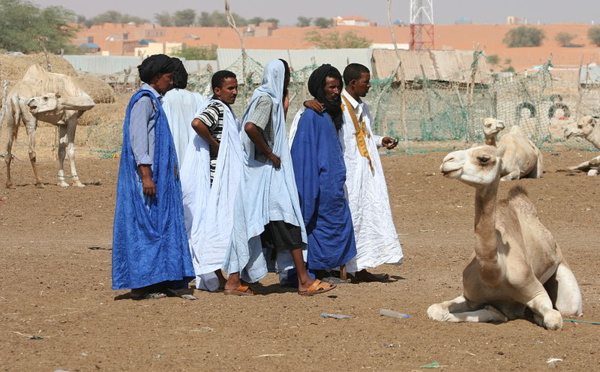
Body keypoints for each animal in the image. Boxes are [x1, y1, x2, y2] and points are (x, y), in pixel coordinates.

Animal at [428, 145, 584, 332]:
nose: (447, 161)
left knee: (568, 308)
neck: (495, 275)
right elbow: (435, 310)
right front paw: (494, 311)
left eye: (484, 158)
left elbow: (553, 319)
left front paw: (535, 316)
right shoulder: (470, 297)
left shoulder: (535, 292)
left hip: (566, 286)